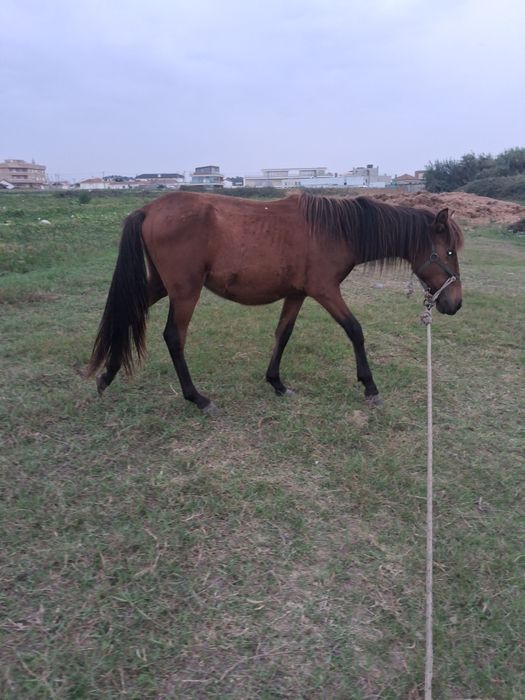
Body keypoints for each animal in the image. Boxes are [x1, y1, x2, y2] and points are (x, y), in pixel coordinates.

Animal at [87, 191, 463, 414]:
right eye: (448, 252)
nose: (455, 303)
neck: (334, 230)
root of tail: (149, 209)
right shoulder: (325, 290)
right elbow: (355, 330)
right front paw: (370, 387)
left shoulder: (297, 293)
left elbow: (283, 334)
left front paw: (277, 383)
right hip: (185, 292)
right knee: (173, 338)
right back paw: (198, 398)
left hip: (163, 286)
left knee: (129, 312)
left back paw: (107, 375)